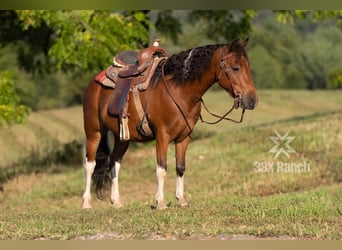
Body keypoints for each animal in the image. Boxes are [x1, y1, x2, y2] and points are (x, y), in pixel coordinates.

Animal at [82, 37, 256, 209]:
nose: (252, 100)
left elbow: (180, 167)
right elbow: (162, 168)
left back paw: (116, 201)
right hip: (94, 132)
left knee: (115, 162)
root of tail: (93, 83)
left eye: (248, 66)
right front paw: (160, 202)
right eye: (235, 68)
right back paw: (86, 203)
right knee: (90, 164)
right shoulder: (162, 136)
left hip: (122, 138)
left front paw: (181, 199)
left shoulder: (184, 137)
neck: (178, 90)